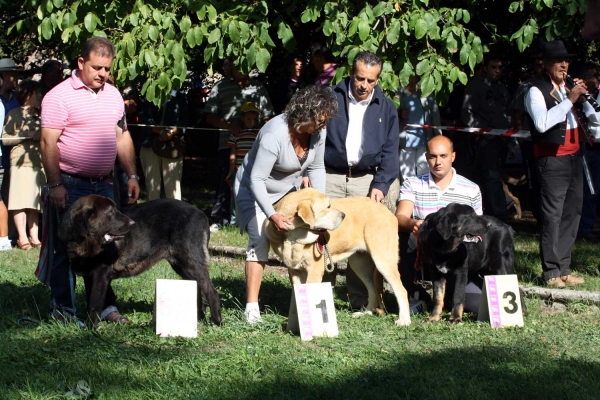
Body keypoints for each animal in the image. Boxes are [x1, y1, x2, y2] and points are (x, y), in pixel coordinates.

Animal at [58, 195, 221, 328]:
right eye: (111, 212)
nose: (132, 223)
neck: (84, 240)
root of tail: (201, 213)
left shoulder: (100, 275)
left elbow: (94, 305)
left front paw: (91, 329)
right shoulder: (89, 276)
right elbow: (90, 303)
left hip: (190, 262)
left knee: (211, 291)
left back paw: (216, 322)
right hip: (181, 265)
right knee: (198, 289)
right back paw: (198, 319)